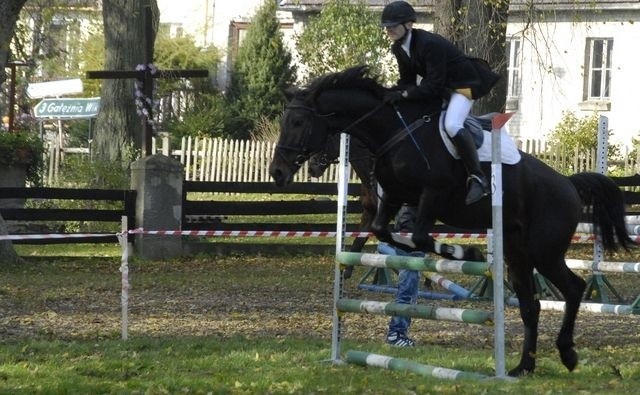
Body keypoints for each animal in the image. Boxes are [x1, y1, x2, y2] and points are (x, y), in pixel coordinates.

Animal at [268, 65, 632, 378]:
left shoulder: (432, 193)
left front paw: (465, 253)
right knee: (532, 305)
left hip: (544, 252)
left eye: (298, 122)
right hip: (517, 253)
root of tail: (568, 183)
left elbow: (418, 236)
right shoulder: (394, 198)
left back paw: (567, 353)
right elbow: (383, 231)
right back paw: (521, 368)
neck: (392, 132)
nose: (277, 173)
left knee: (573, 288)